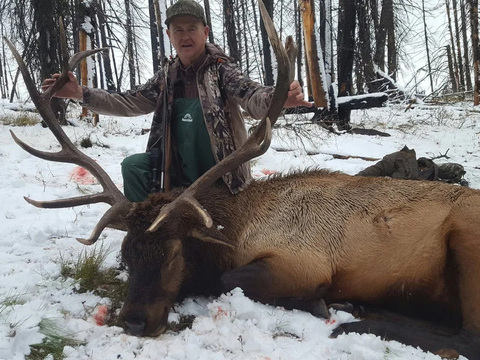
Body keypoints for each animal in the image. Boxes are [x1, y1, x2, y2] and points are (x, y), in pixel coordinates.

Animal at [5, 4, 480, 360]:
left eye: (174, 253)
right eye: (126, 254)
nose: (134, 321)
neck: (235, 229)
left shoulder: (304, 262)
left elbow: (226, 279)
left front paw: (319, 300)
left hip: (466, 237)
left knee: (466, 336)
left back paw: (354, 315)